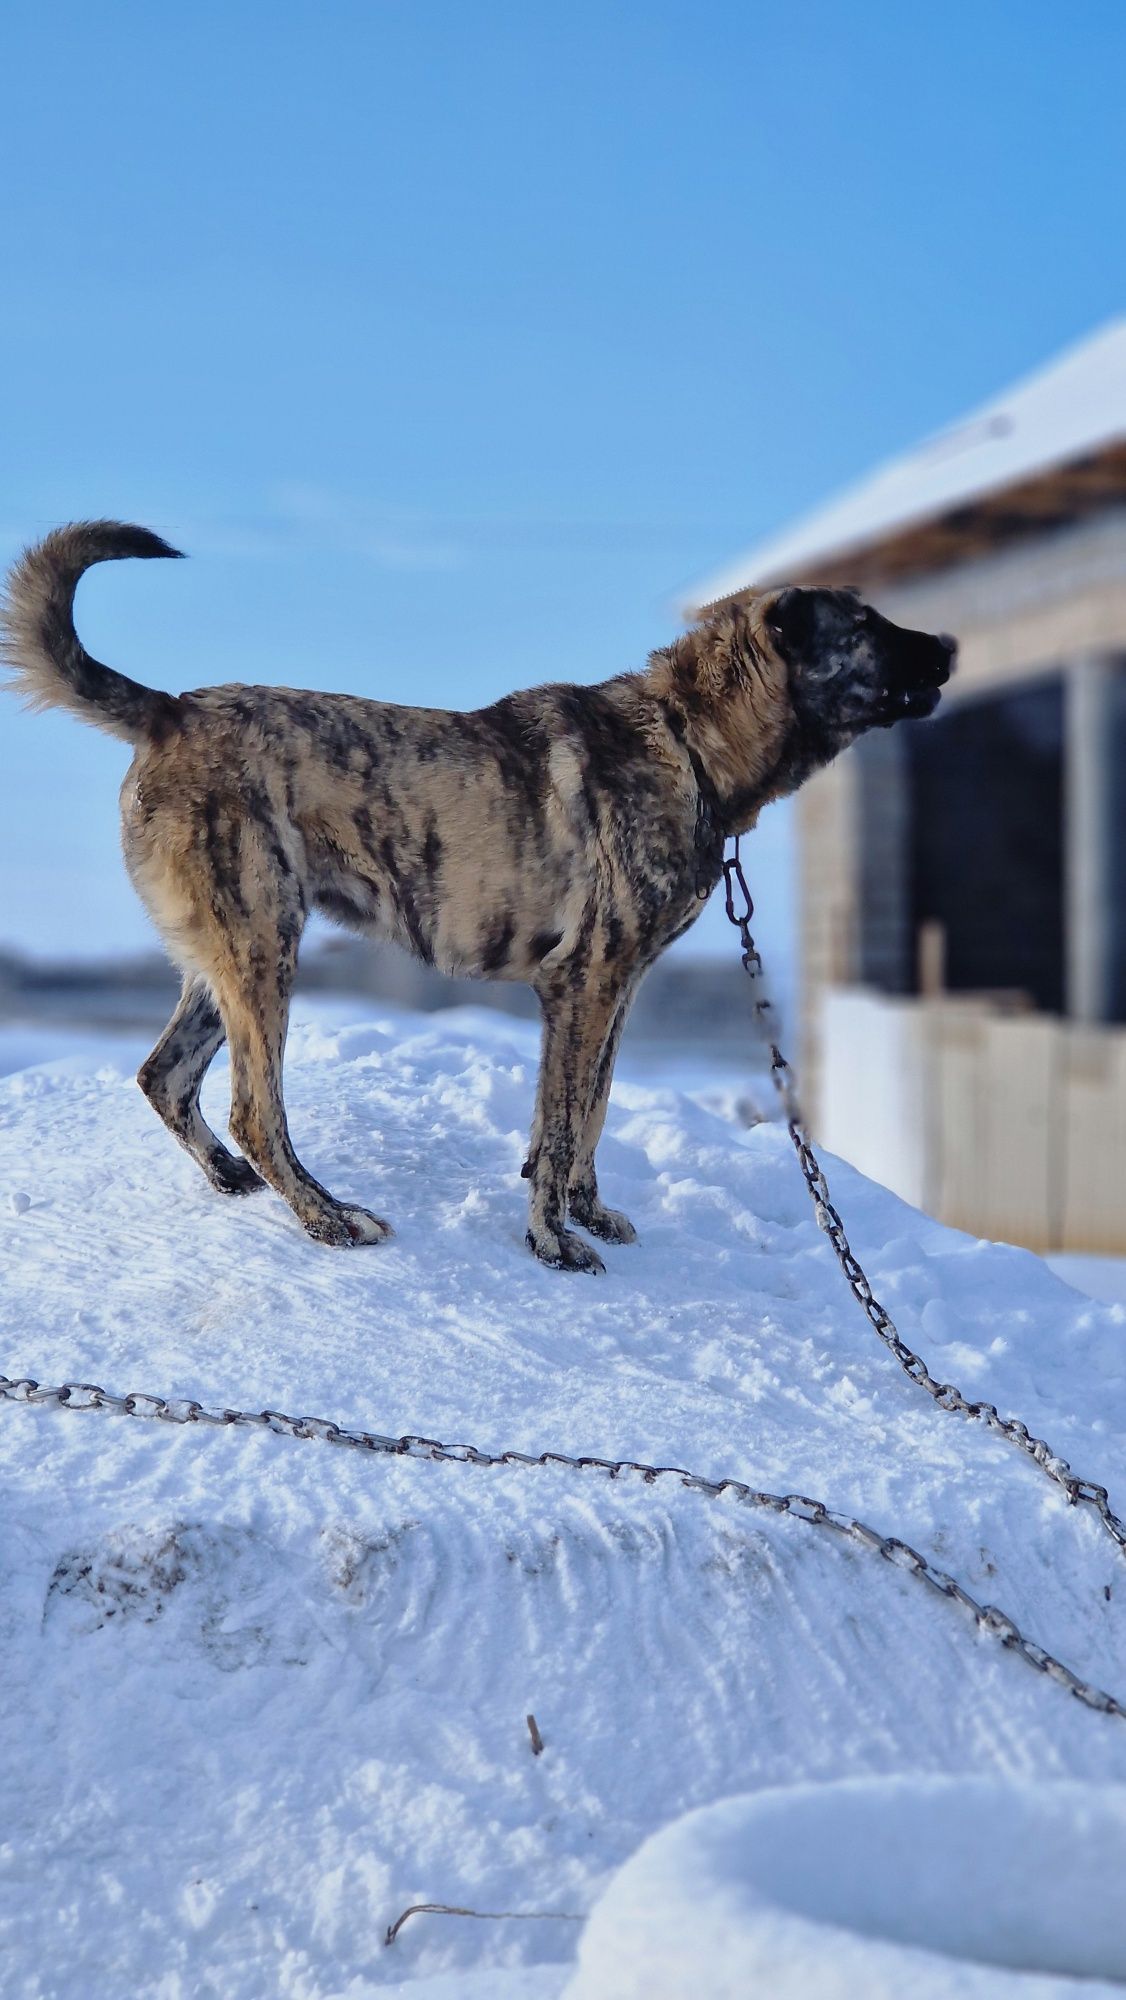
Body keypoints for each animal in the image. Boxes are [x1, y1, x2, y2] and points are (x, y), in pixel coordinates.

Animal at [0, 524, 956, 1272]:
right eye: (865, 624)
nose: (949, 643)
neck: (688, 740)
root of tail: (168, 710)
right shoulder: (583, 984)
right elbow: (567, 1121)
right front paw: (555, 1243)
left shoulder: (613, 991)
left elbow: (586, 1113)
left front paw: (582, 1213)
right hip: (264, 948)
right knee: (253, 1110)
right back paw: (330, 1219)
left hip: (227, 959)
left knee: (164, 1076)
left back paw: (238, 1180)